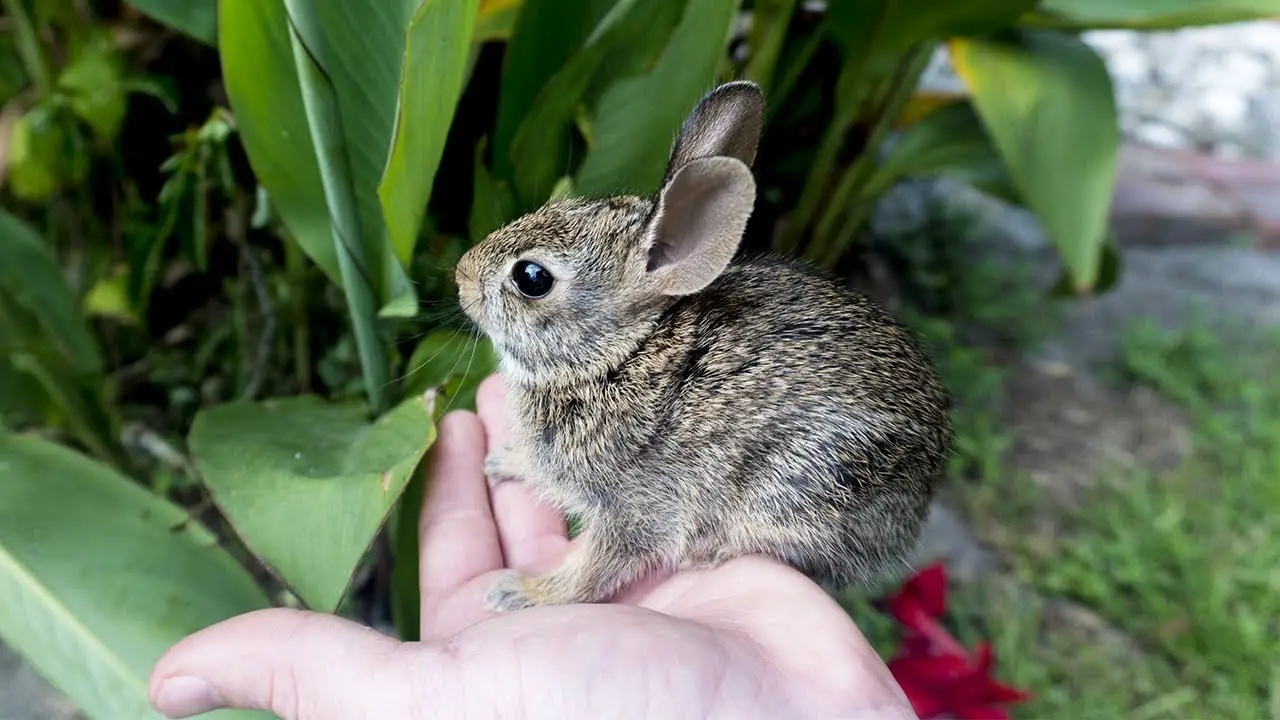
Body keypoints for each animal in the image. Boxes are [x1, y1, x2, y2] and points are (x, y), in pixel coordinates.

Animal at [455, 79, 957, 609]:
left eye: (531, 277)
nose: (461, 275)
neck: (619, 355)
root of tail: (926, 486)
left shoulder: (638, 507)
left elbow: (598, 567)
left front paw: (527, 593)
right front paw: (505, 461)